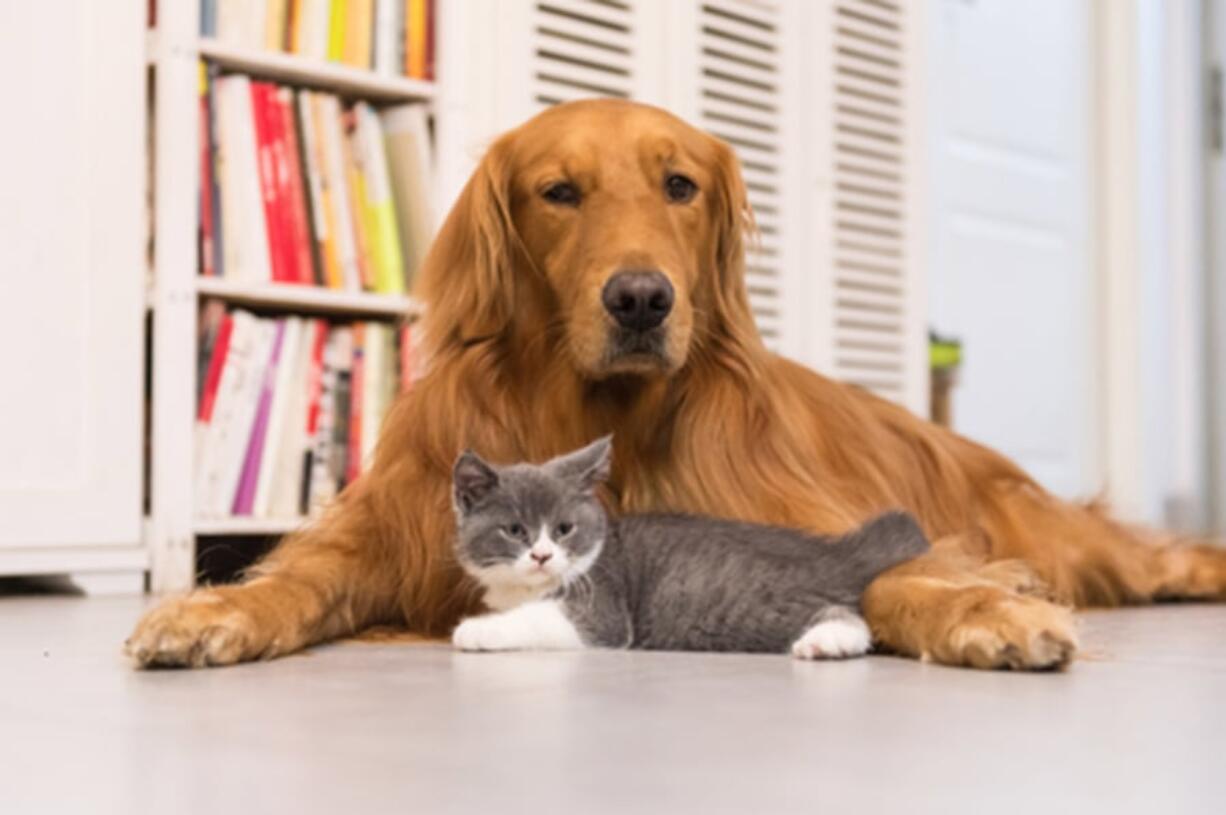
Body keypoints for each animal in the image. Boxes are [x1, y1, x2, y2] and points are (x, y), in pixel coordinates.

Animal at [451, 436, 926, 656]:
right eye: (515, 530)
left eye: (564, 528)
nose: (542, 555)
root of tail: (839, 551)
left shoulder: (603, 609)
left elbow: (542, 619)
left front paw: (477, 629)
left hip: (740, 606)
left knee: (847, 613)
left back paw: (826, 642)